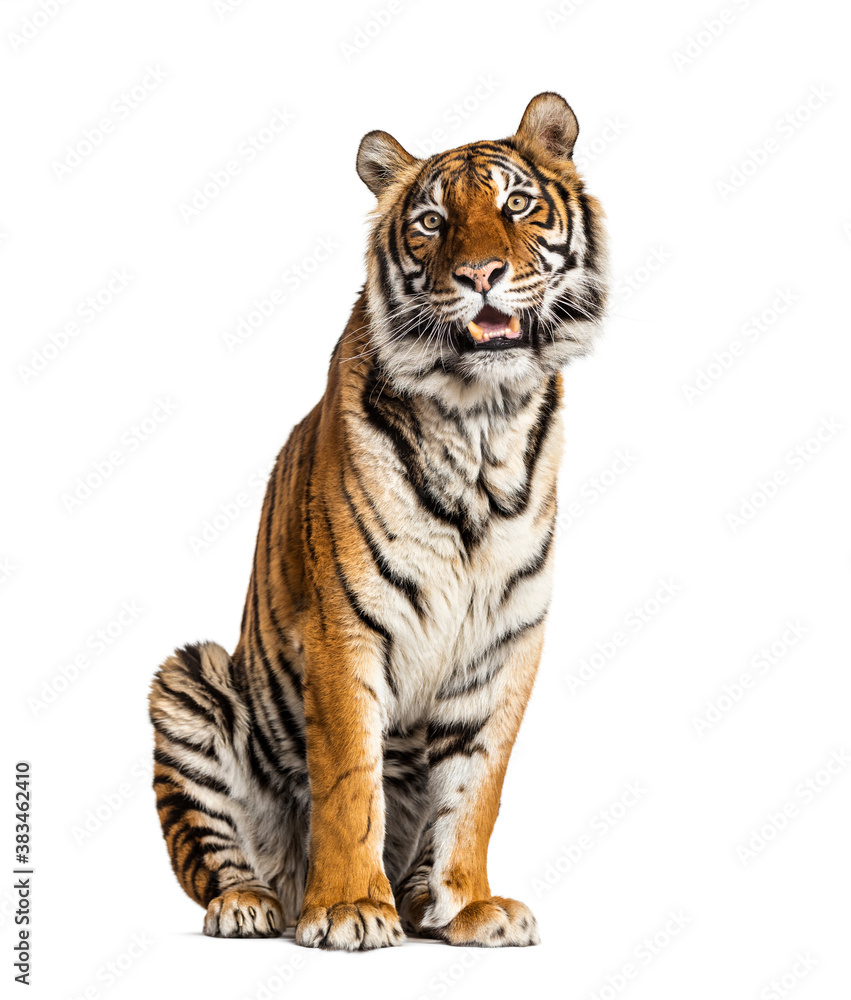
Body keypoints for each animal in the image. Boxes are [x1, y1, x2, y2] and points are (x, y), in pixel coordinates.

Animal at [148, 91, 609, 951]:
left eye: (516, 205)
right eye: (431, 221)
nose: (480, 275)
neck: (482, 422)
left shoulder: (505, 643)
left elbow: (476, 792)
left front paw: (469, 905)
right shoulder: (344, 629)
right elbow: (348, 781)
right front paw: (349, 908)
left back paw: (423, 900)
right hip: (189, 680)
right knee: (213, 859)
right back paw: (257, 904)